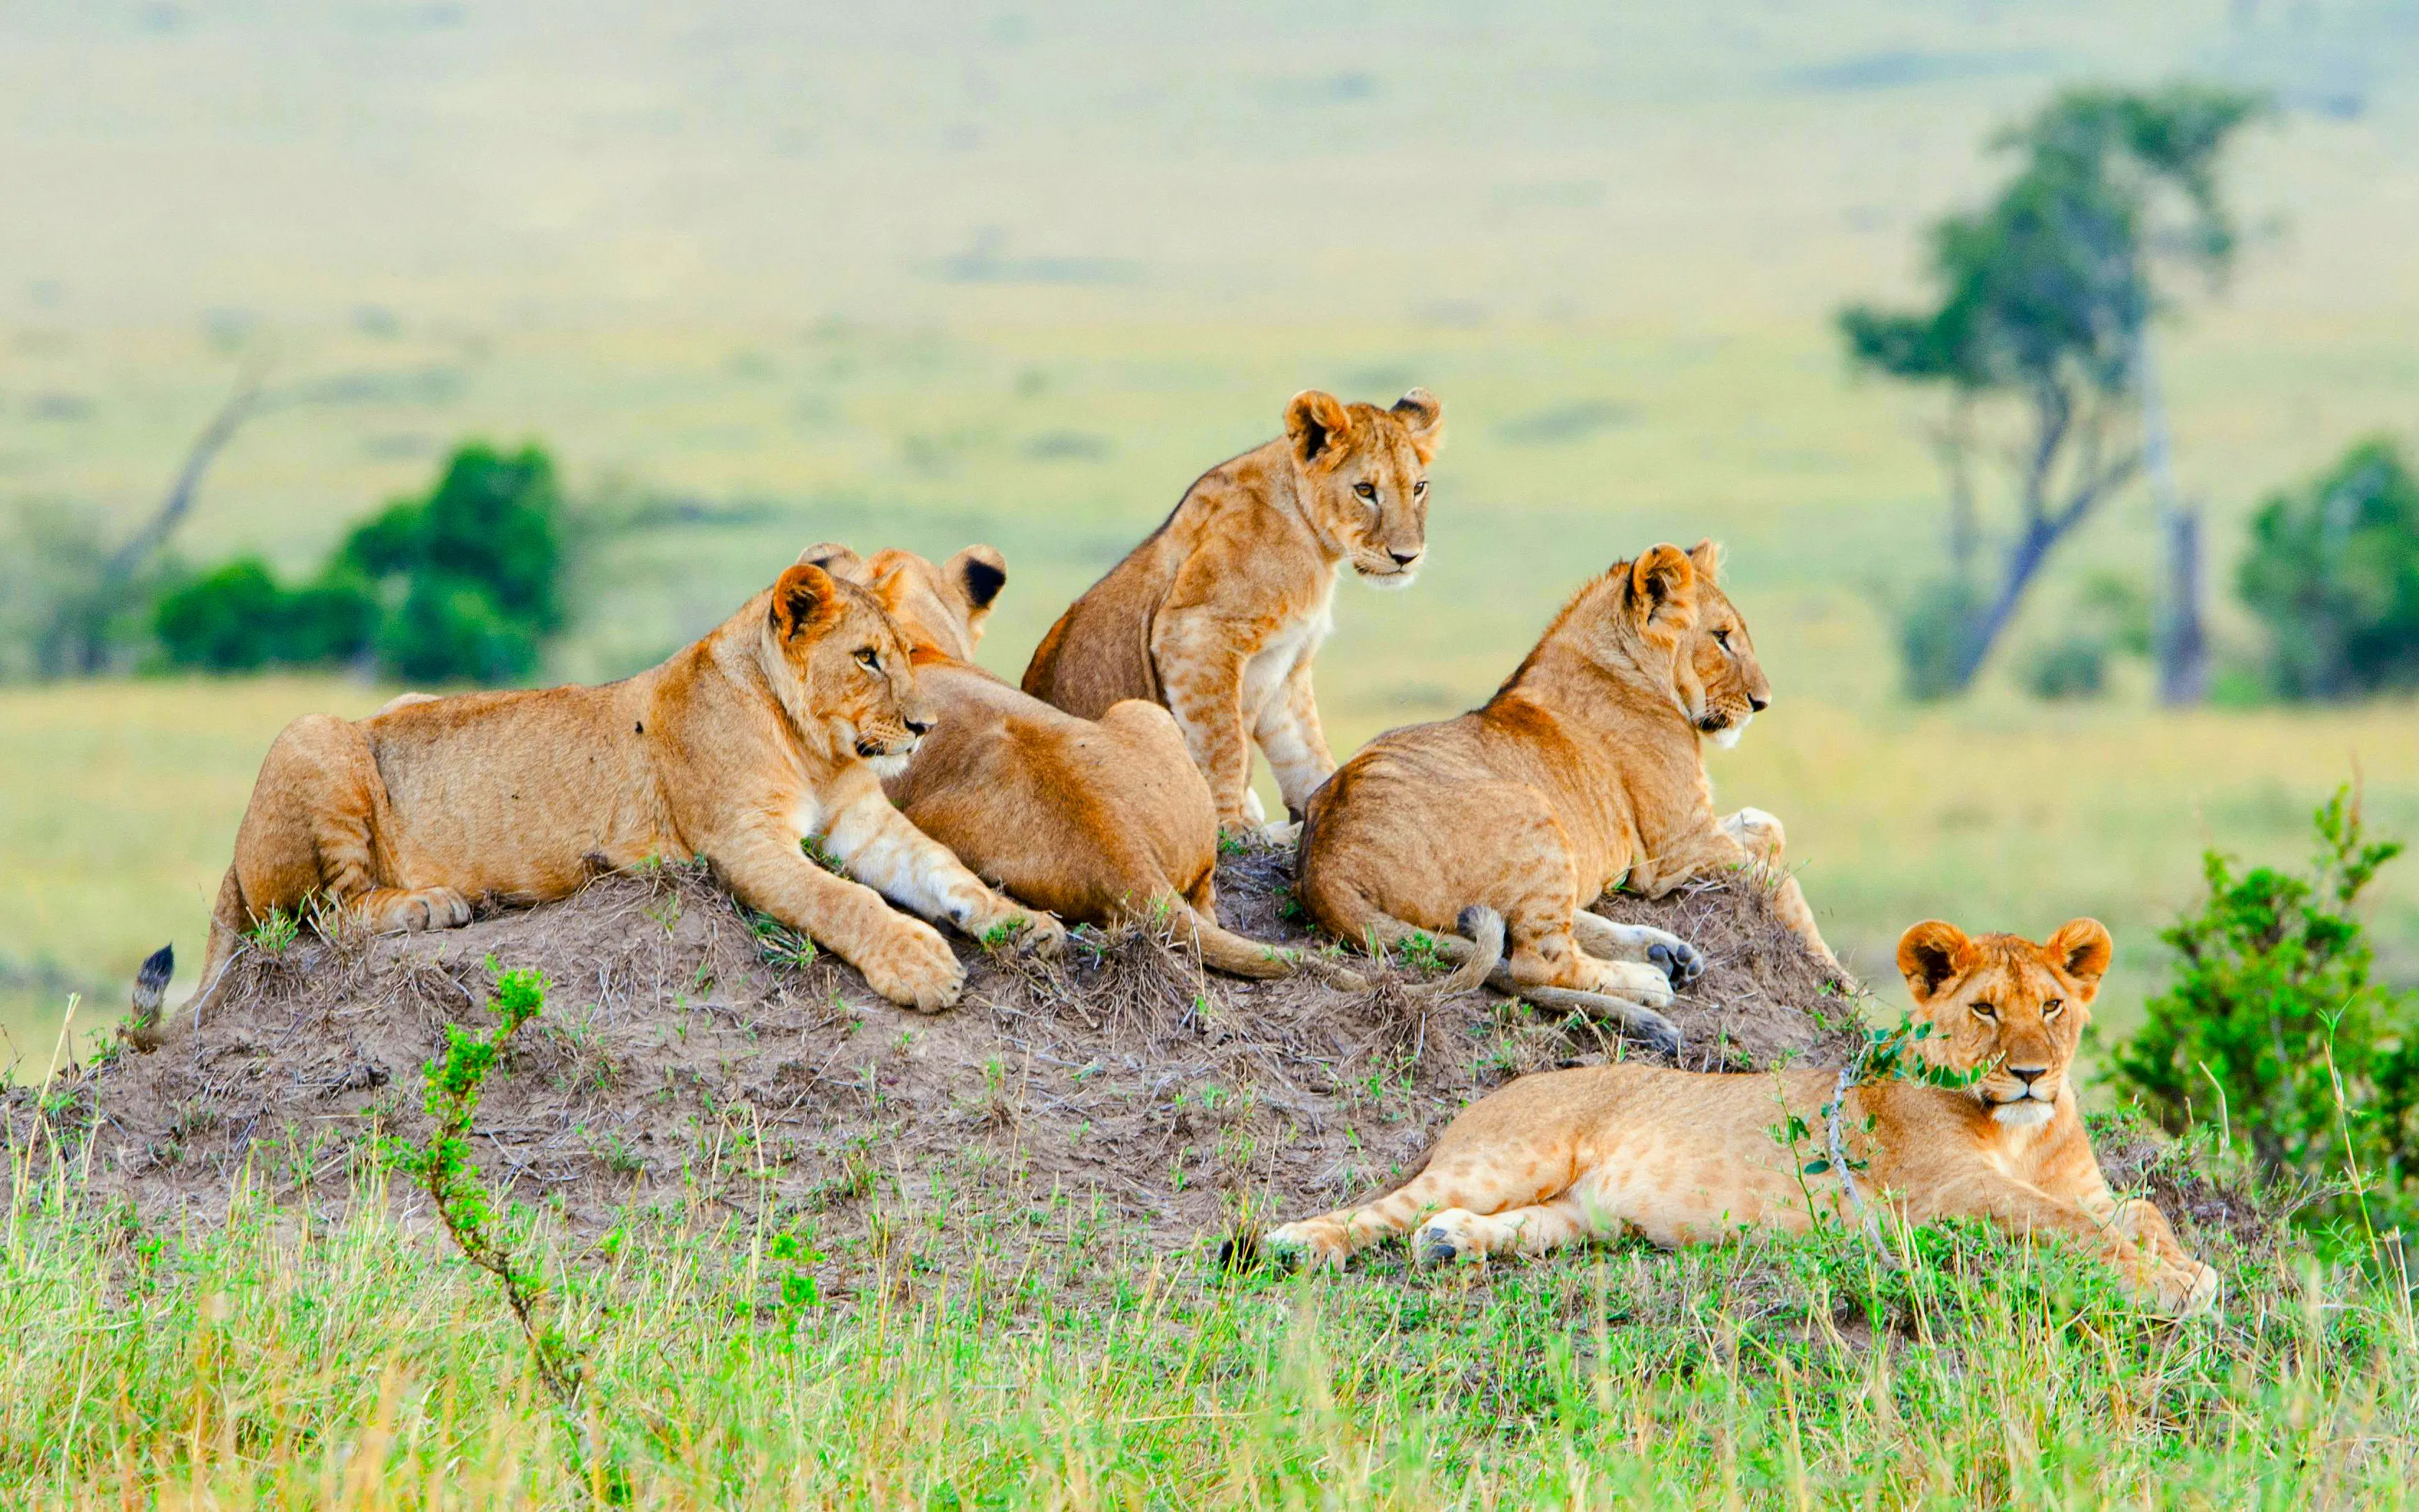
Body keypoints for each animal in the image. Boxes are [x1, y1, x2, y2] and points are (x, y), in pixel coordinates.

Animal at [126, 556, 1064, 1039]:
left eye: (907, 651)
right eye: (867, 657)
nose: (923, 726)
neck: (814, 748)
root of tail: (232, 860)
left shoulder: (862, 822)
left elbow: (945, 870)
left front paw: (1027, 925)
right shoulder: (742, 841)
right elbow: (844, 901)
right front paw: (921, 966)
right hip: (313, 734)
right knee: (319, 916)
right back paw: (433, 903)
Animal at [1022, 387, 1443, 837]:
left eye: (1418, 487)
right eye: (1365, 490)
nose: (1407, 557)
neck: (1313, 542)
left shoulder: (1287, 665)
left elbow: (1306, 751)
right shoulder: (1196, 633)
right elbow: (1224, 741)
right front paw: (1230, 825)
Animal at [1261, 917, 2222, 1317]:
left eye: (2054, 1005)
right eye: (1986, 1009)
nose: (2029, 1074)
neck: (2019, 1131)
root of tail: (1497, 1092)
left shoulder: (2080, 1185)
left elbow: (2139, 1209)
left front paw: (2187, 1266)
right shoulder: (1949, 1191)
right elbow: (2069, 1225)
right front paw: (2172, 1285)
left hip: (1580, 1214)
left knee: (1490, 1223)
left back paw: (1452, 1242)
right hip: (1508, 1155)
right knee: (1382, 1207)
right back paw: (1299, 1242)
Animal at [1294, 540, 1840, 1053]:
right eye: (1722, 637)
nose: (1761, 702)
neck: (1626, 663)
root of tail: (1324, 867)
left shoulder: (1691, 834)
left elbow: (1768, 826)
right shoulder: (1678, 845)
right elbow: (1782, 885)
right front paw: (1839, 981)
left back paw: (1665, 953)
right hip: (1532, 809)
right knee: (1538, 963)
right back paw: (1650, 979)